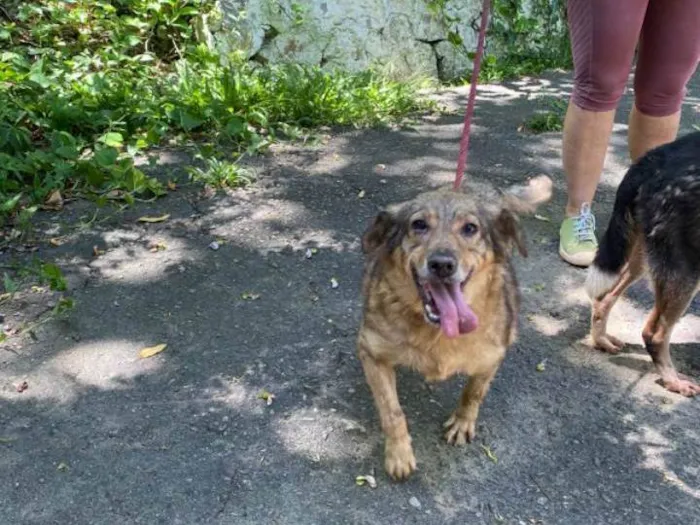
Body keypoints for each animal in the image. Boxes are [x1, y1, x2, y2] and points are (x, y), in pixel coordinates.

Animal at [356, 173, 552, 478]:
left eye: (470, 228)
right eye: (419, 225)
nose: (442, 264)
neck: (437, 333)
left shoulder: (492, 358)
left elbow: (473, 393)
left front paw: (462, 422)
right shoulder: (371, 352)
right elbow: (392, 412)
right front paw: (399, 453)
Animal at [584, 129, 700, 396]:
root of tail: (652, 159)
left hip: (643, 255)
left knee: (605, 297)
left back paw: (602, 340)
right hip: (685, 269)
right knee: (654, 334)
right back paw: (673, 380)